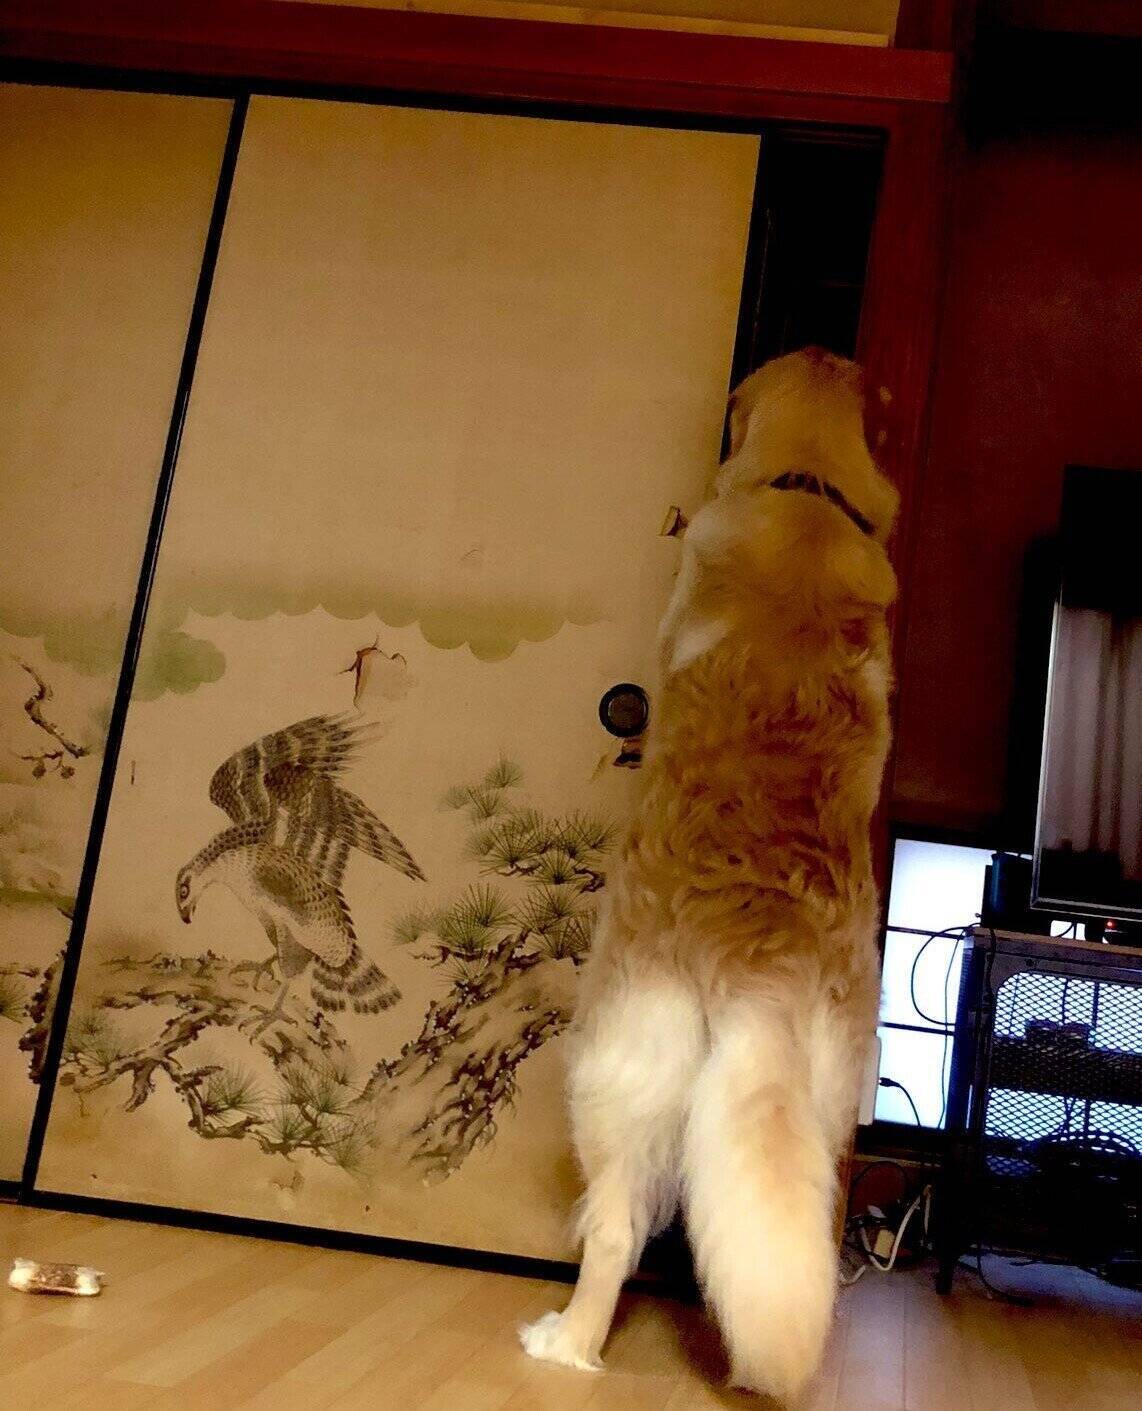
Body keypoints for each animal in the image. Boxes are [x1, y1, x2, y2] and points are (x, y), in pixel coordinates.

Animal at [520, 348, 898, 1401]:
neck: (807, 496)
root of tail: (759, 964)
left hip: (615, 1073)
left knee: (613, 1231)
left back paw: (565, 1340)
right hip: (822, 1102)